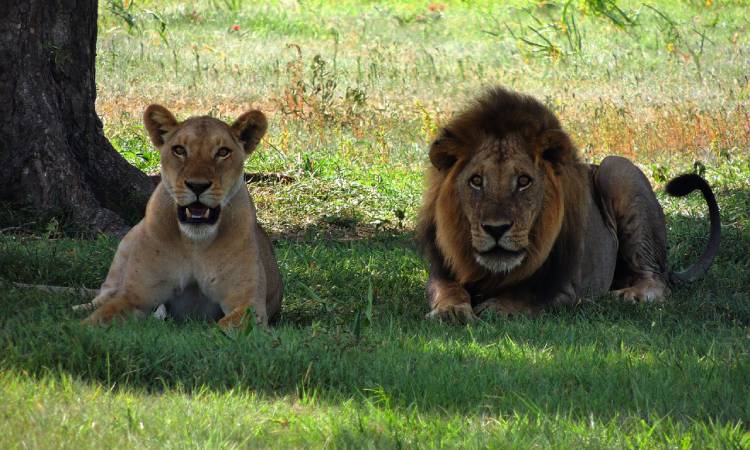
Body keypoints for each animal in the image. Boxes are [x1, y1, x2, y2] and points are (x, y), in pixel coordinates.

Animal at [83, 104, 282, 328]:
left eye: (223, 152)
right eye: (179, 150)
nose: (197, 185)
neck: (194, 243)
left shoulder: (249, 305)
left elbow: (224, 326)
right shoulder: (134, 297)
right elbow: (96, 319)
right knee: (102, 296)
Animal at [418, 86, 724, 322]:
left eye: (524, 181)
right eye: (476, 181)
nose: (496, 229)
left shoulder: (566, 286)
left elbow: (531, 296)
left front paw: (497, 307)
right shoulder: (442, 271)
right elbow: (447, 290)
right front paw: (451, 311)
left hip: (617, 169)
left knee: (657, 282)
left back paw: (627, 296)